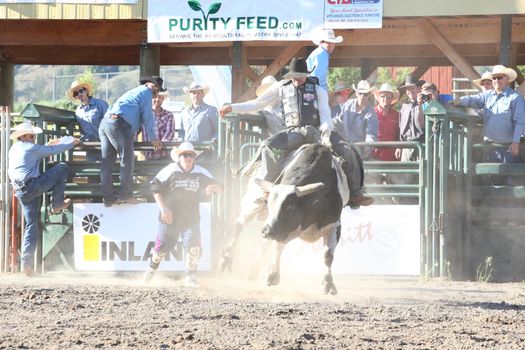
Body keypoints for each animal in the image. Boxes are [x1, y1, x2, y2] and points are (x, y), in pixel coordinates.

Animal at [219, 142, 346, 296]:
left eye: (289, 207)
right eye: (269, 204)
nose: (266, 231)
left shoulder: (333, 225)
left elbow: (328, 255)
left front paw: (328, 284)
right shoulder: (284, 229)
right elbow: (278, 246)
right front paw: (273, 275)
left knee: (263, 244)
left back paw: (254, 269)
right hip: (253, 203)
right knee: (239, 225)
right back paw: (226, 258)